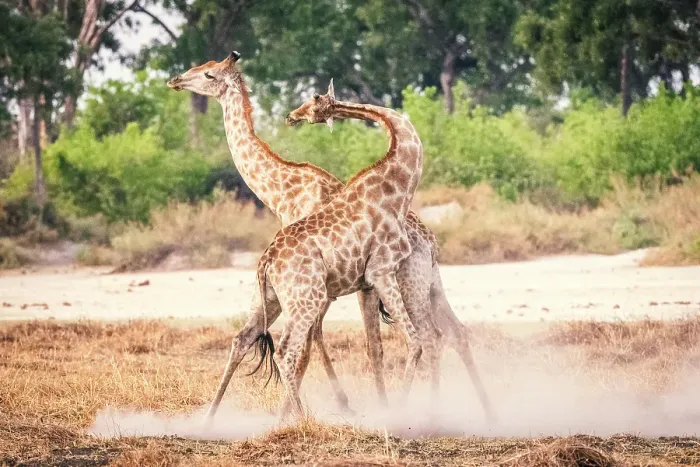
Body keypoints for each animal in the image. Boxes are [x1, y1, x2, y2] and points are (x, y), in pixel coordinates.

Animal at [166, 52, 493, 420]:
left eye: (208, 74)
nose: (176, 80)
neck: (281, 190)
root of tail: (430, 239)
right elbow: (278, 341)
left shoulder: (327, 289)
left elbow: (314, 345)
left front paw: (324, 408)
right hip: (422, 283)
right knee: (452, 333)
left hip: (404, 283)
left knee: (423, 337)